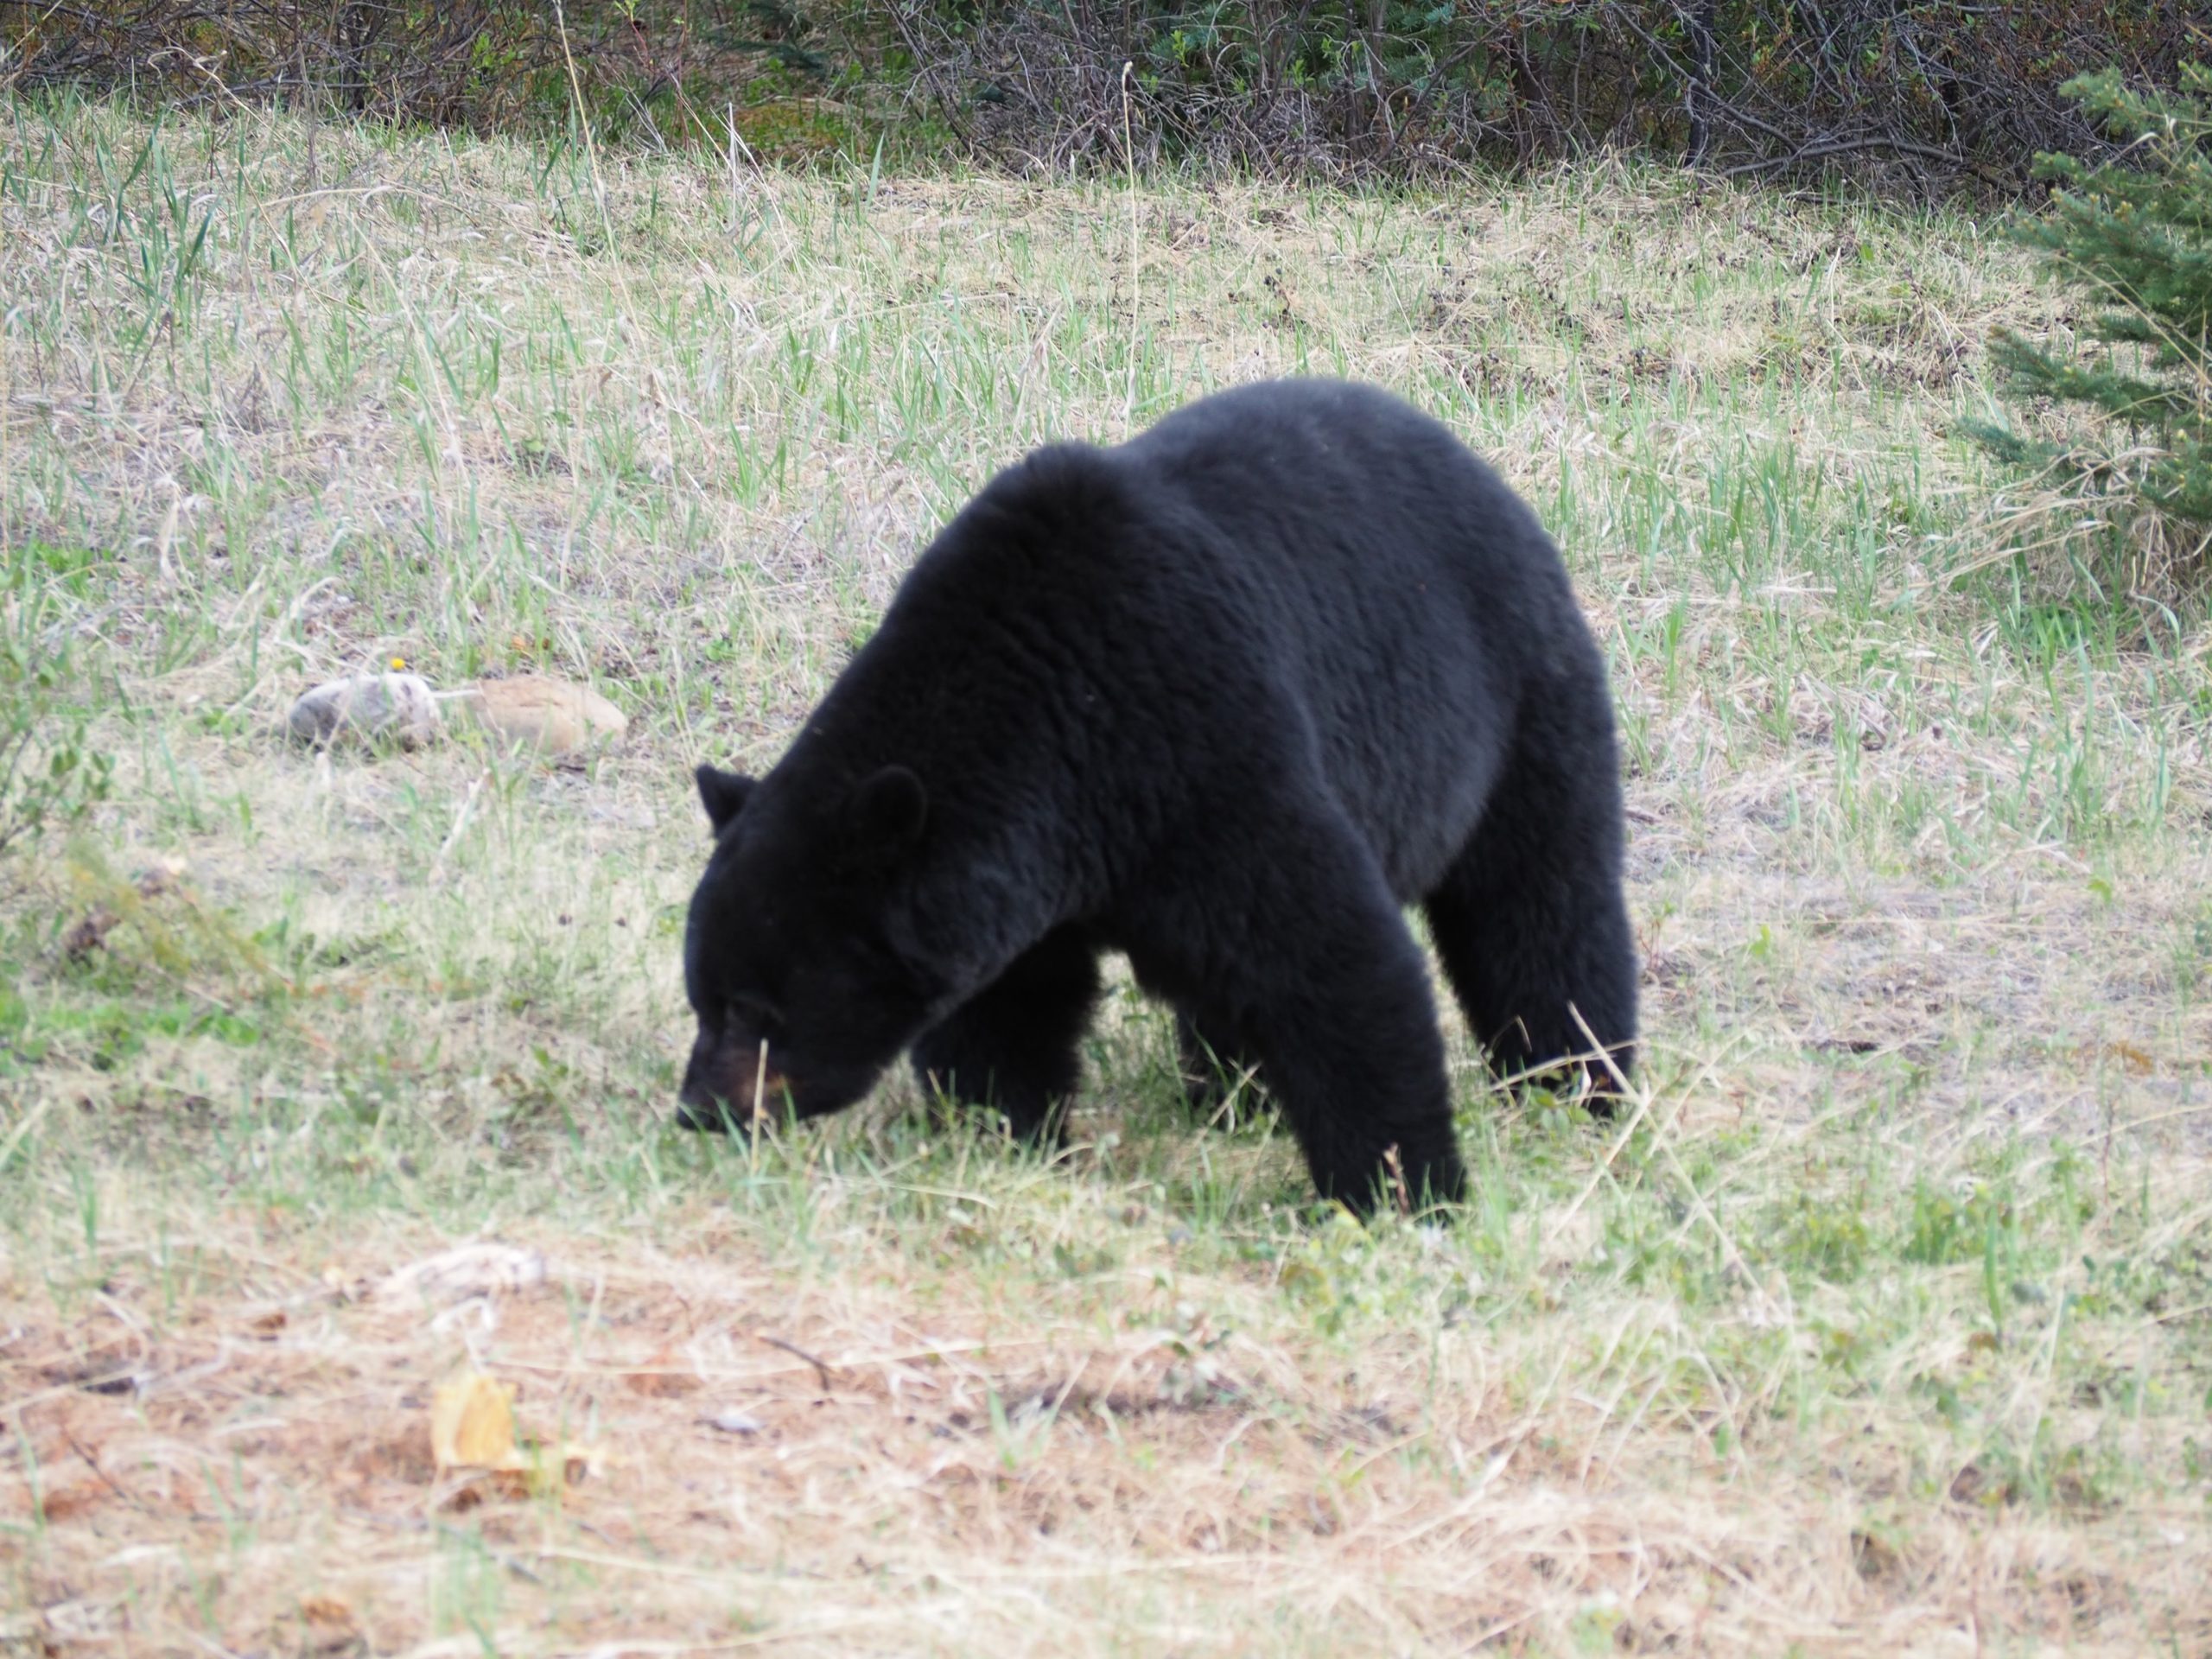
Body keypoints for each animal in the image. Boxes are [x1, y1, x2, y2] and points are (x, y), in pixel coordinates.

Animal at [681, 376, 1637, 1211]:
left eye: (758, 1010)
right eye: (703, 996)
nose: (699, 1110)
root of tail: (1486, 470)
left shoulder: (1202, 748)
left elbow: (1332, 961)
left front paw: (1405, 1194)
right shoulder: (1022, 866)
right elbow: (1012, 1005)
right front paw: (1005, 1138)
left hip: (1525, 703)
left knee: (1542, 910)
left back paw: (1582, 1085)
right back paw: (1232, 1100)